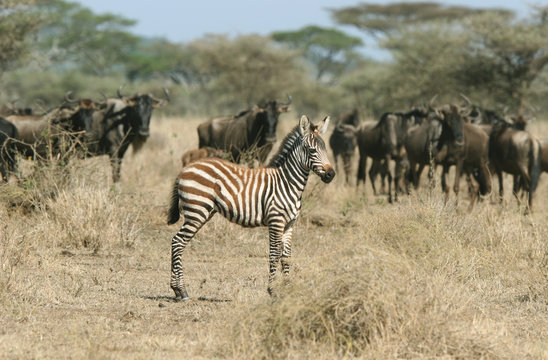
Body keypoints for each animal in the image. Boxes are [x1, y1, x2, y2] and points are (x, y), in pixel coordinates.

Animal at [167, 115, 336, 300]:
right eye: (312, 151)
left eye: (325, 149)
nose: (331, 175)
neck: (287, 182)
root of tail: (185, 168)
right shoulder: (276, 221)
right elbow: (274, 254)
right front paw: (272, 290)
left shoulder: (290, 224)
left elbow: (286, 257)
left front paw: (288, 289)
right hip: (196, 211)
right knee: (177, 242)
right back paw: (181, 290)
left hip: (203, 212)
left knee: (179, 242)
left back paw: (177, 290)